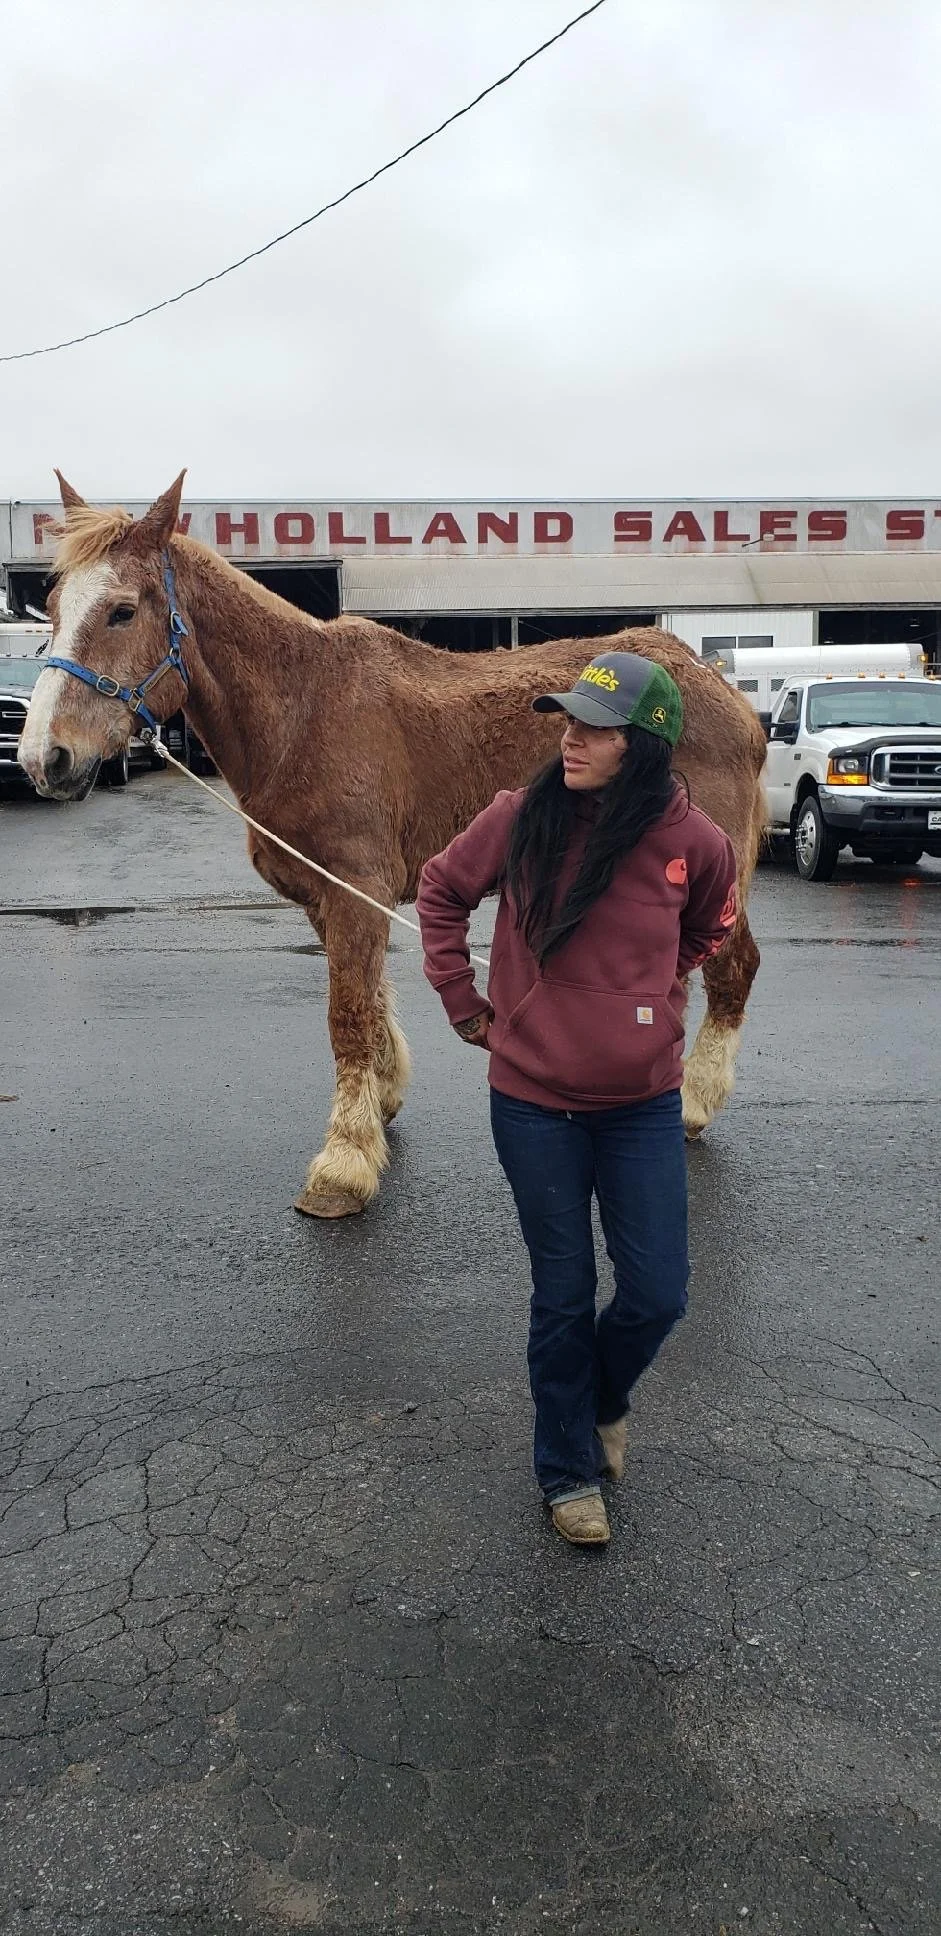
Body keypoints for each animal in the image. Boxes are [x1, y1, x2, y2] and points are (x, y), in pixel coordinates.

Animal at [18, 473, 766, 1218]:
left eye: (121, 611)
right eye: (51, 607)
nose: (44, 758)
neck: (302, 709)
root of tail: (716, 685)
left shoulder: (358, 887)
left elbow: (346, 1015)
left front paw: (343, 1166)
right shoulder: (330, 896)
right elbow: (370, 1001)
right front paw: (379, 1103)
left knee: (733, 969)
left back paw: (692, 1101)